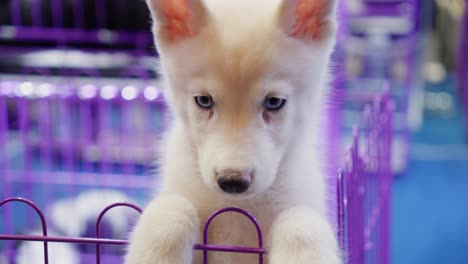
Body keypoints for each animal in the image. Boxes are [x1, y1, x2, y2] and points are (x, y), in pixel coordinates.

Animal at [126, 0, 342, 262]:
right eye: (204, 101)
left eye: (274, 102)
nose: (232, 181)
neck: (235, 209)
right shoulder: (180, 193)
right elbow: (171, 208)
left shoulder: (302, 201)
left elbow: (301, 221)